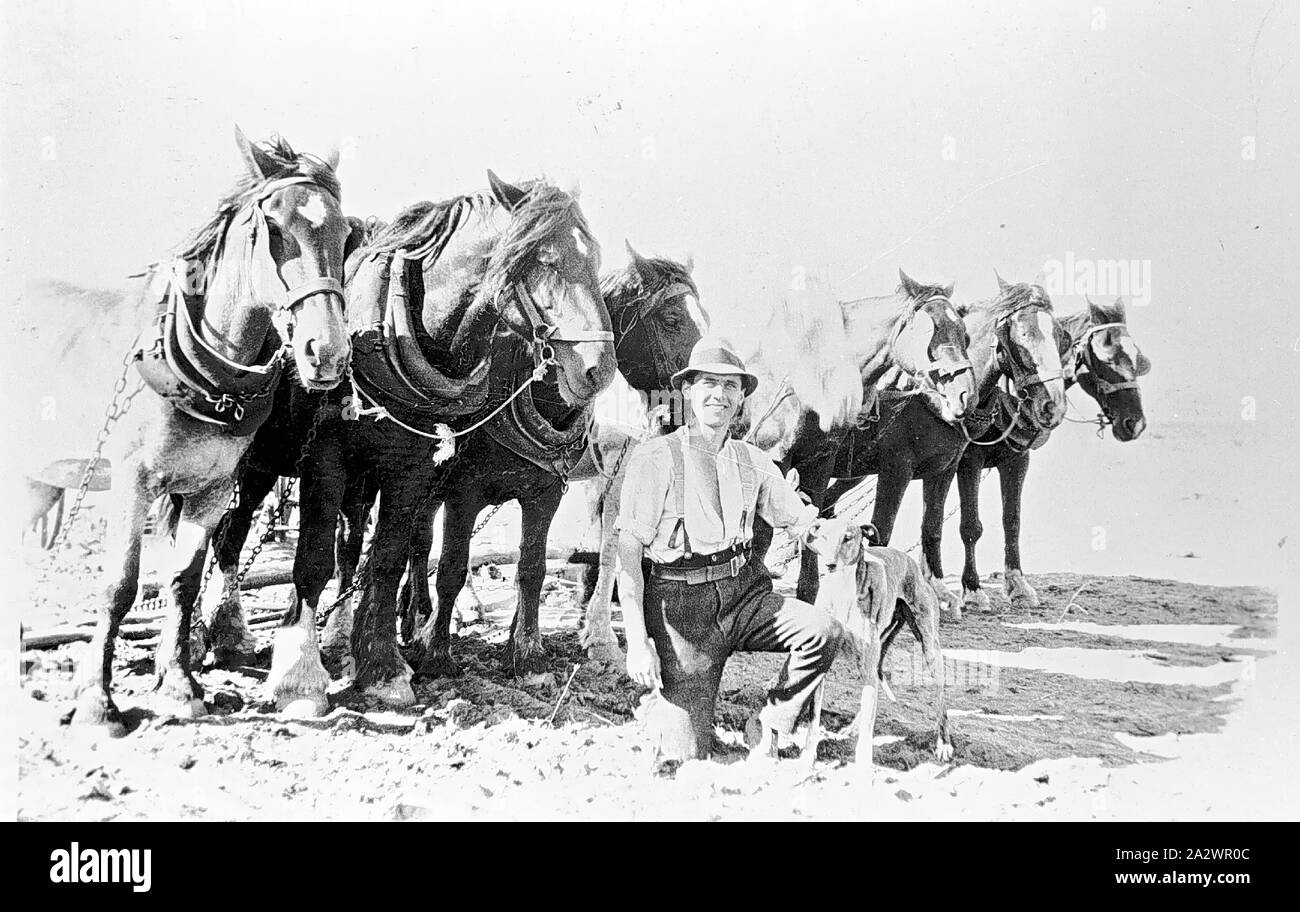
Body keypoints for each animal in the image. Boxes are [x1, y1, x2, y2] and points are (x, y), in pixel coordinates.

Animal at [69, 132, 356, 737]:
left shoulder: (218, 485)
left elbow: (185, 576)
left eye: (346, 235)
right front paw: (96, 702)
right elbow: (121, 583)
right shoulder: (132, 478)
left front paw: (180, 685)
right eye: (274, 229)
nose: (328, 352)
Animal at [800, 517, 956, 774]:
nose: (830, 565)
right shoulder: (821, 665)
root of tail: (913, 564)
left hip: (930, 650)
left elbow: (867, 731)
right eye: (823, 536)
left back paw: (944, 743)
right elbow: (814, 719)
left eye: (848, 538)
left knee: (941, 701)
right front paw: (806, 759)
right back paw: (853, 726)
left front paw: (863, 768)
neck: (842, 592)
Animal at [826, 271, 1071, 613]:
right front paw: (973, 589)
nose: (1053, 407)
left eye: (1062, 338)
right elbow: (963, 526)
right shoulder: (912, 467)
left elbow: (952, 525)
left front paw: (1004, 587)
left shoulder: (960, 465)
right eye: (1020, 338)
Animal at [956, 300, 1149, 610]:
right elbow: (970, 526)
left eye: (1136, 357)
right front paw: (972, 590)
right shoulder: (968, 460)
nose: (1136, 423)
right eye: (1104, 359)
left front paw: (1018, 586)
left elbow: (1012, 521)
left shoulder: (1017, 460)